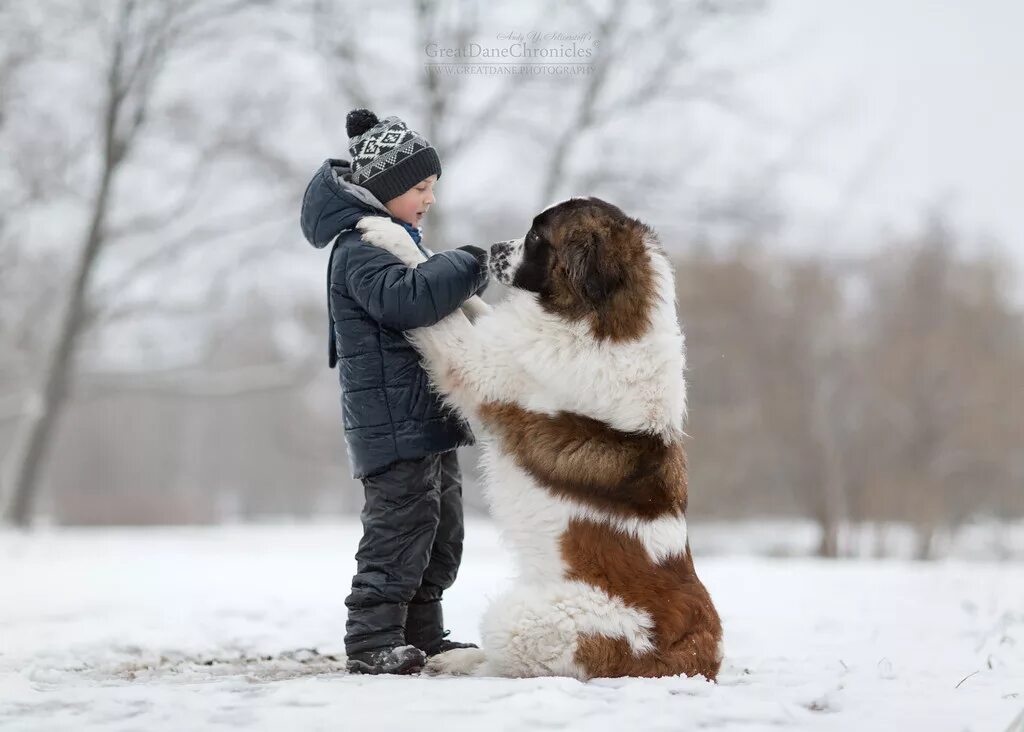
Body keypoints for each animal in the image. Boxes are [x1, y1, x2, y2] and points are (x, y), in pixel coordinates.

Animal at [356, 196, 724, 679]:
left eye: (535, 238)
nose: (489, 250)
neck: (599, 319)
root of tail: (697, 654)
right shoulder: (502, 340)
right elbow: (469, 306)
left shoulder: (481, 367)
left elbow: (445, 322)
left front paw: (389, 235)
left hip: (523, 618)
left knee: (505, 657)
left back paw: (459, 660)